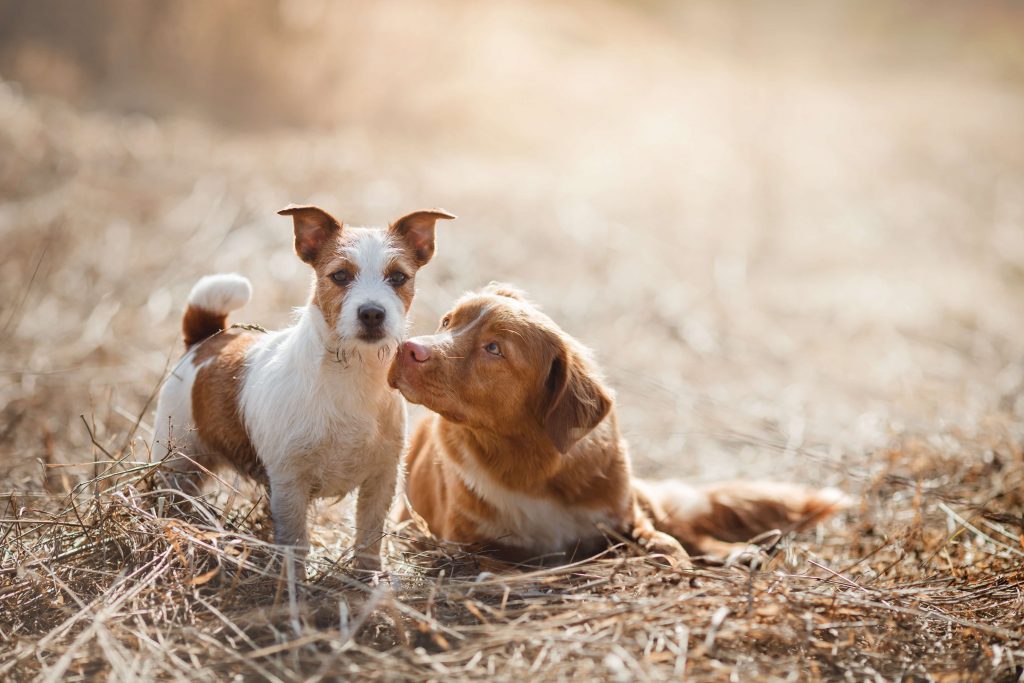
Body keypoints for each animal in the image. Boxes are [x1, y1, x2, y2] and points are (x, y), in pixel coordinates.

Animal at [150, 205, 452, 569]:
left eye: (397, 278)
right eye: (340, 276)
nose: (372, 313)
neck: (352, 374)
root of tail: (207, 340)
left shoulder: (382, 478)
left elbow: (369, 536)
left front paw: (368, 574)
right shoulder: (289, 484)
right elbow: (296, 542)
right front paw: (294, 578)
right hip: (177, 461)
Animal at [387, 282, 843, 565]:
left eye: (494, 348)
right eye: (447, 321)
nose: (406, 348)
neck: (528, 466)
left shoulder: (625, 517)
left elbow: (667, 543)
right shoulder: (465, 543)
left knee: (686, 529)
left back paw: (736, 552)